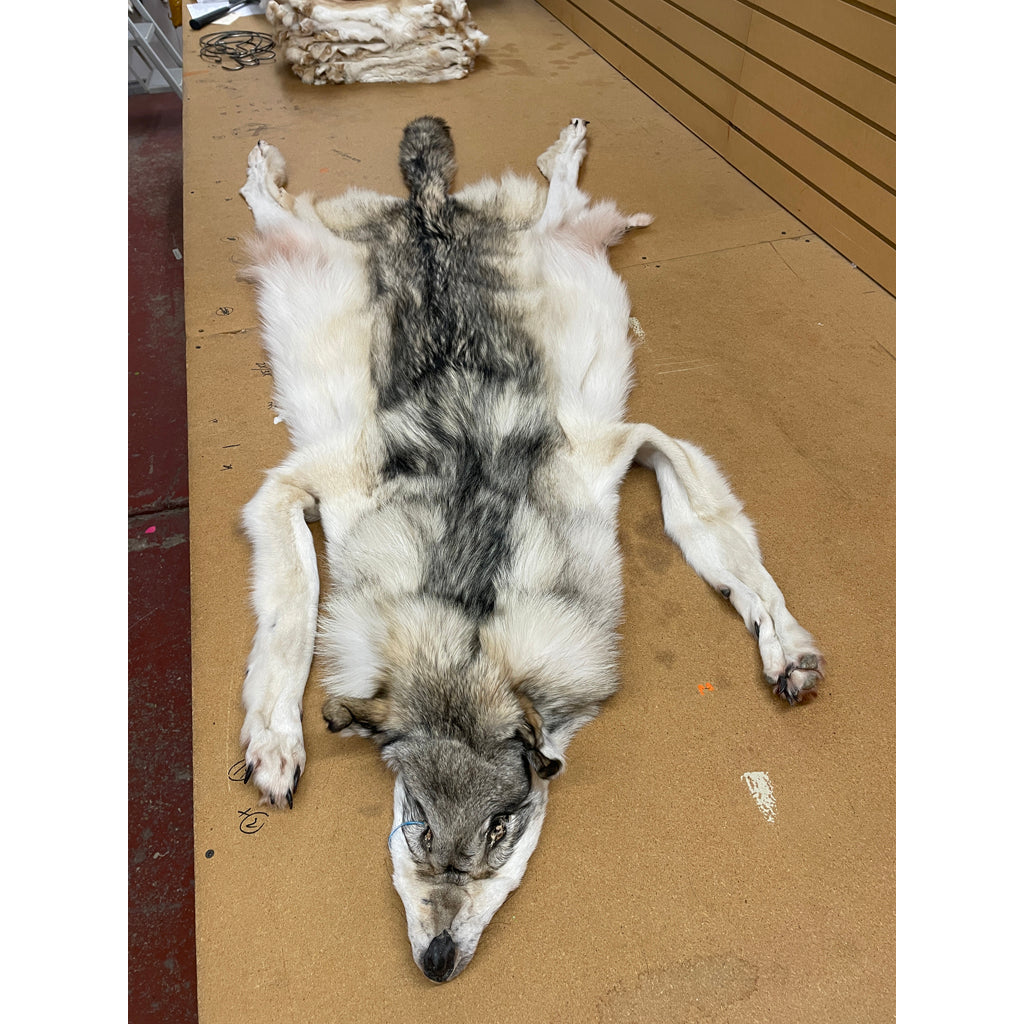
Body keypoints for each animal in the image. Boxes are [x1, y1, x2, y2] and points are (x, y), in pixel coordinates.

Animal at [236, 116, 822, 982]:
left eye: (500, 831)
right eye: (416, 825)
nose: (438, 961)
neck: (473, 621)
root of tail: (429, 207)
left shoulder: (629, 445)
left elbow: (723, 544)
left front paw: (786, 650)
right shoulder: (290, 488)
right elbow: (291, 620)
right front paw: (276, 744)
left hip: (557, 237)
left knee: (561, 192)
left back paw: (568, 144)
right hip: (294, 245)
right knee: (265, 198)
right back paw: (265, 160)